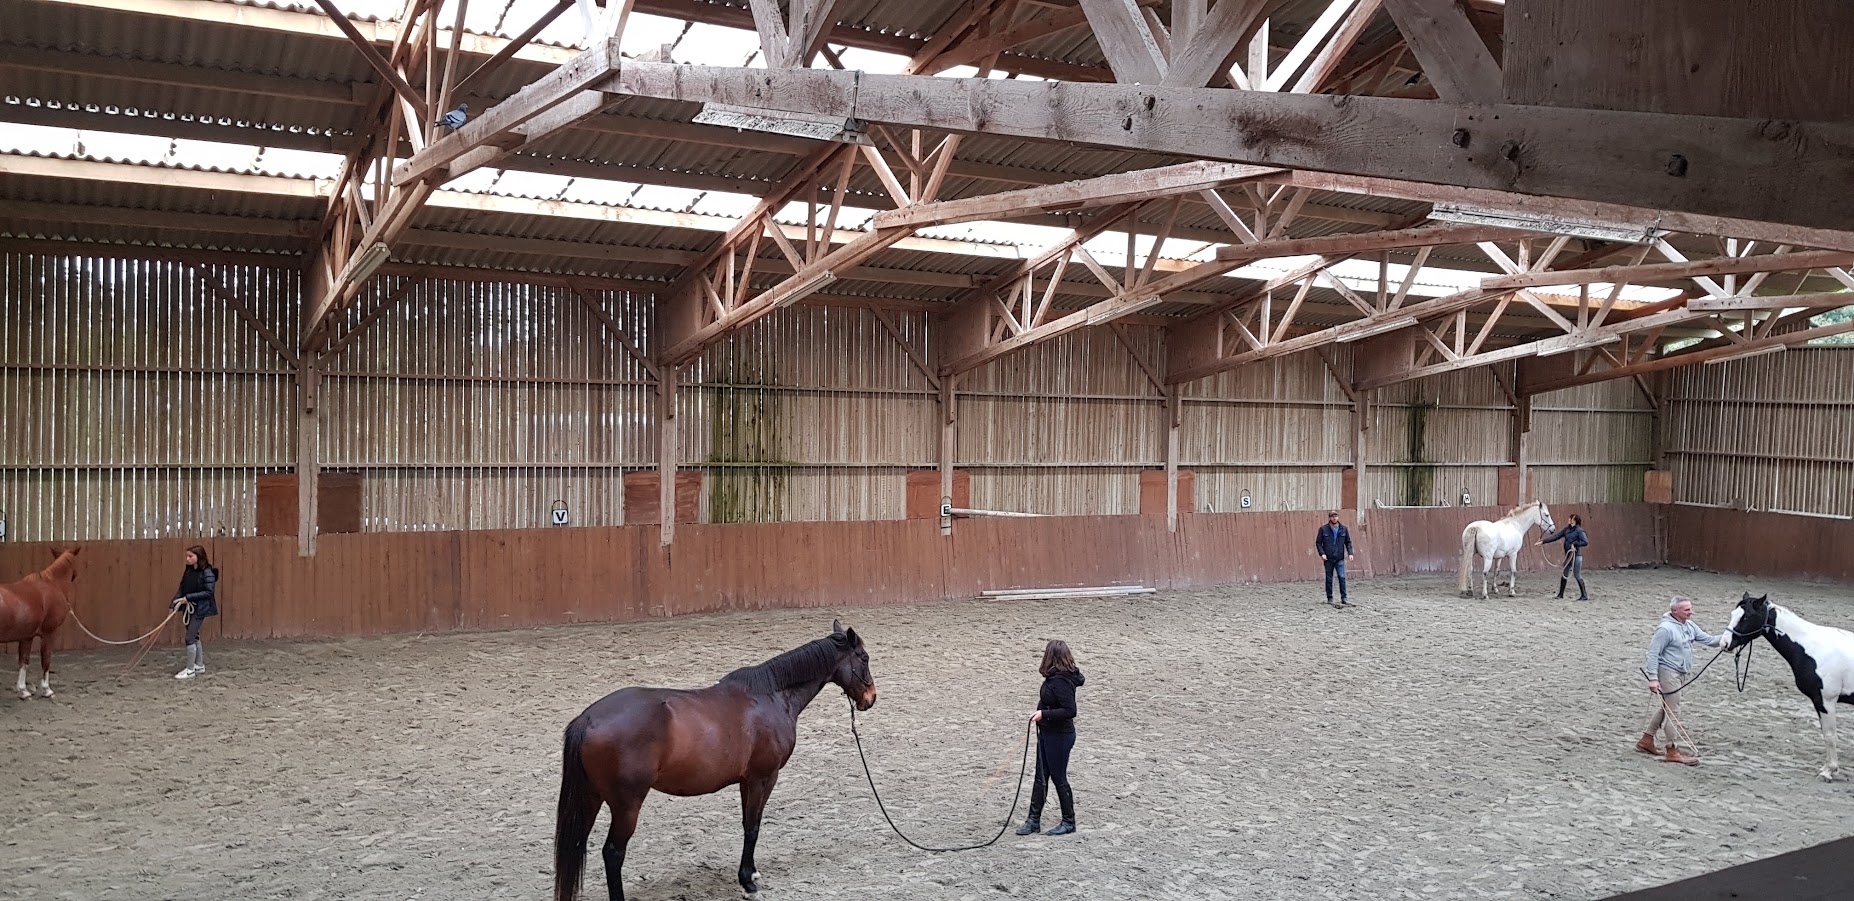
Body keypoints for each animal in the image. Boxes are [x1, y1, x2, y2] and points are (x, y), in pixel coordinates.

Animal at [1, 547, 80, 700]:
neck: (53, 585)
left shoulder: (26, 636)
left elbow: (24, 662)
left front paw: (23, 691)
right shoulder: (49, 633)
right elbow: (46, 659)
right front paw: (47, 690)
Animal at [553, 618, 877, 901]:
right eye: (863, 657)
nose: (870, 698)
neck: (771, 695)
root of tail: (588, 718)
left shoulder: (748, 781)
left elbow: (750, 823)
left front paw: (751, 873)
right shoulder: (762, 778)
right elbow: (752, 826)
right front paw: (747, 881)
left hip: (591, 797)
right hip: (626, 805)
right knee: (613, 853)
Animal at [1722, 593, 1854, 781]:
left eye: (1746, 617)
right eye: (1733, 614)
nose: (1724, 643)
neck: (1813, 649)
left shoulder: (1826, 701)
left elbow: (1829, 736)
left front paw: (1828, 771)